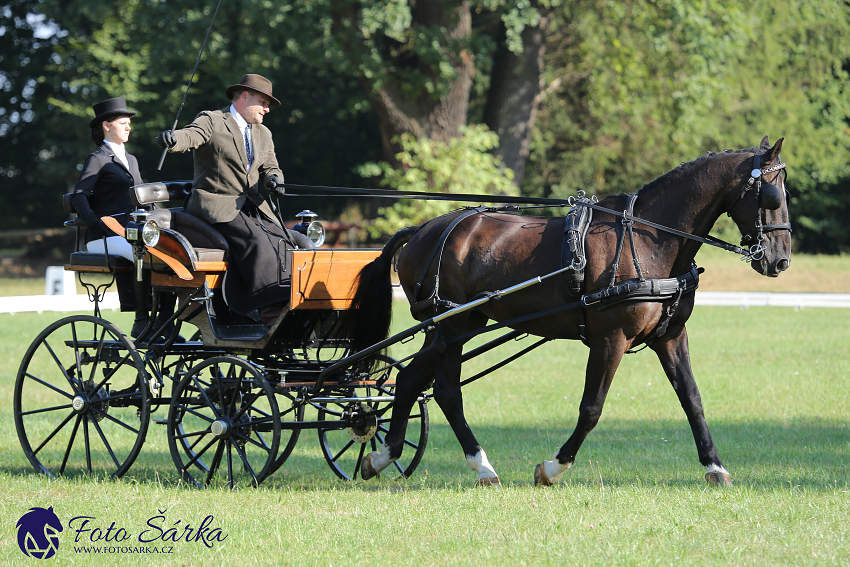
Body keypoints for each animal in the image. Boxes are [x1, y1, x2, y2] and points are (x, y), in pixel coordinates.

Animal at [342, 135, 788, 486]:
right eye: (771, 195)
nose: (779, 260)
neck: (648, 238)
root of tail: (423, 230)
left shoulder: (670, 336)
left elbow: (692, 399)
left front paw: (715, 467)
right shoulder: (610, 338)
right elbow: (591, 408)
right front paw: (553, 467)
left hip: (455, 324)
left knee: (410, 380)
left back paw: (384, 456)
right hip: (453, 324)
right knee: (447, 391)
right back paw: (481, 466)